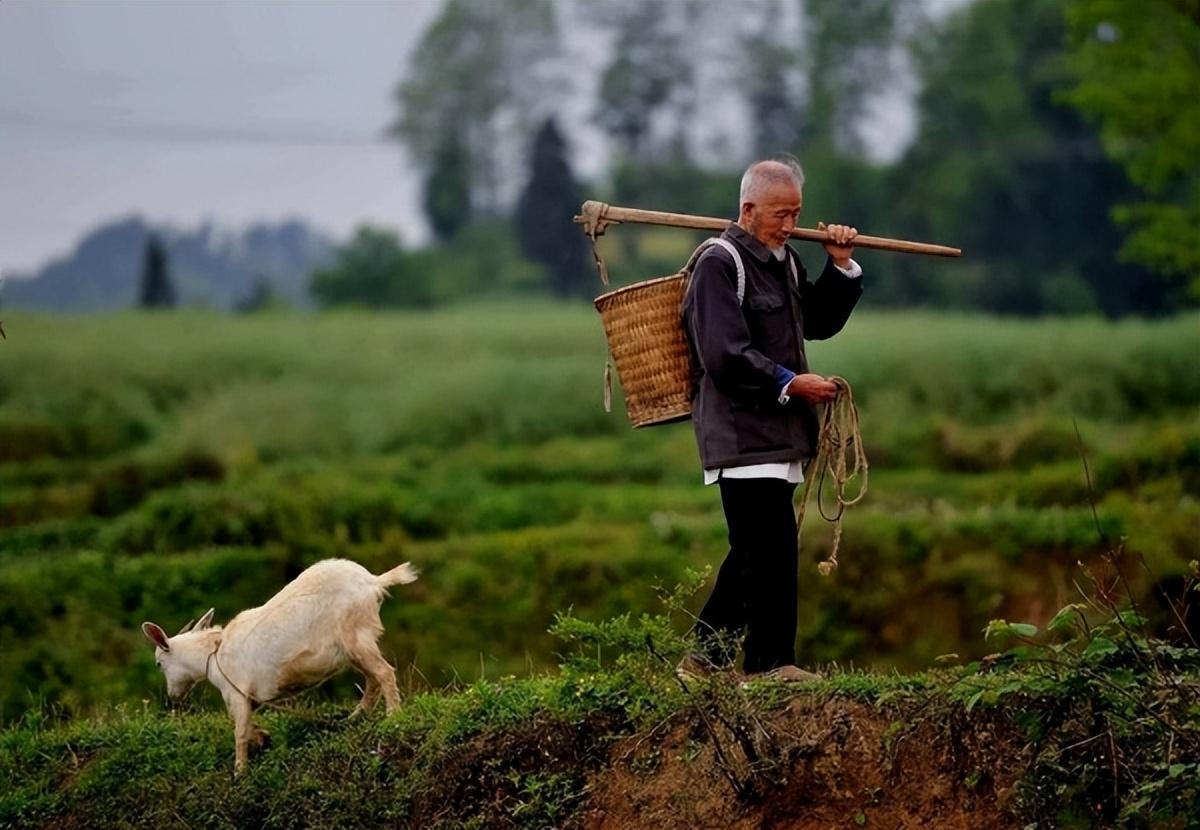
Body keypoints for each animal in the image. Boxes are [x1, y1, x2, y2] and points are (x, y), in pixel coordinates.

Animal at [142, 556, 417, 772]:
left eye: (158, 663)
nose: (173, 697)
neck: (214, 653)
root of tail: (374, 582)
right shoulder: (247, 698)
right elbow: (245, 725)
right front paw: (263, 738)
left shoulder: (236, 693)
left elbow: (239, 731)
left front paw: (240, 771)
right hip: (355, 647)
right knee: (372, 678)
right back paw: (355, 716)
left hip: (355, 637)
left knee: (383, 672)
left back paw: (393, 717)